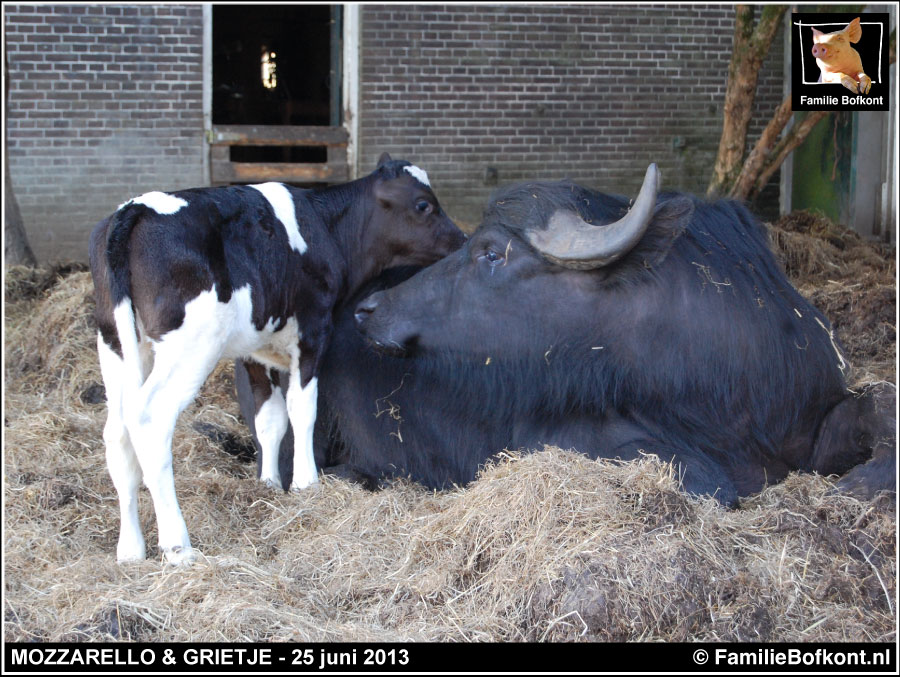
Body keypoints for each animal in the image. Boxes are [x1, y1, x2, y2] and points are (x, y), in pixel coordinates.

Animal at [89, 154, 464, 564]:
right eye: (424, 205)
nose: (462, 241)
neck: (327, 229)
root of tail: (136, 208)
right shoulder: (314, 331)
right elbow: (302, 409)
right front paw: (305, 483)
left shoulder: (255, 348)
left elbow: (269, 417)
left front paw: (268, 483)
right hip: (190, 345)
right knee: (150, 419)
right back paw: (177, 546)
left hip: (115, 340)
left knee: (117, 431)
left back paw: (130, 548)